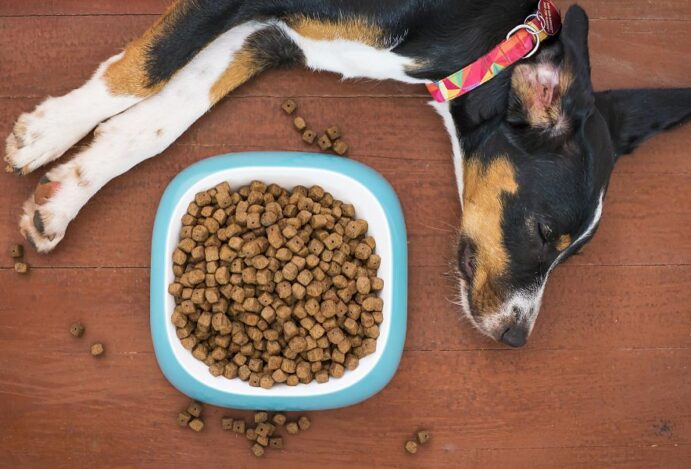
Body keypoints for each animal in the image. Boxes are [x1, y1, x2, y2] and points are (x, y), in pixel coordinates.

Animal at [4, 1, 690, 347]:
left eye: (572, 255)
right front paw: (46, 132)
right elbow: (145, 67)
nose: (517, 338)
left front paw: (67, 191)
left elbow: (161, 117)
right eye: (547, 233)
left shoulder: (272, 35)